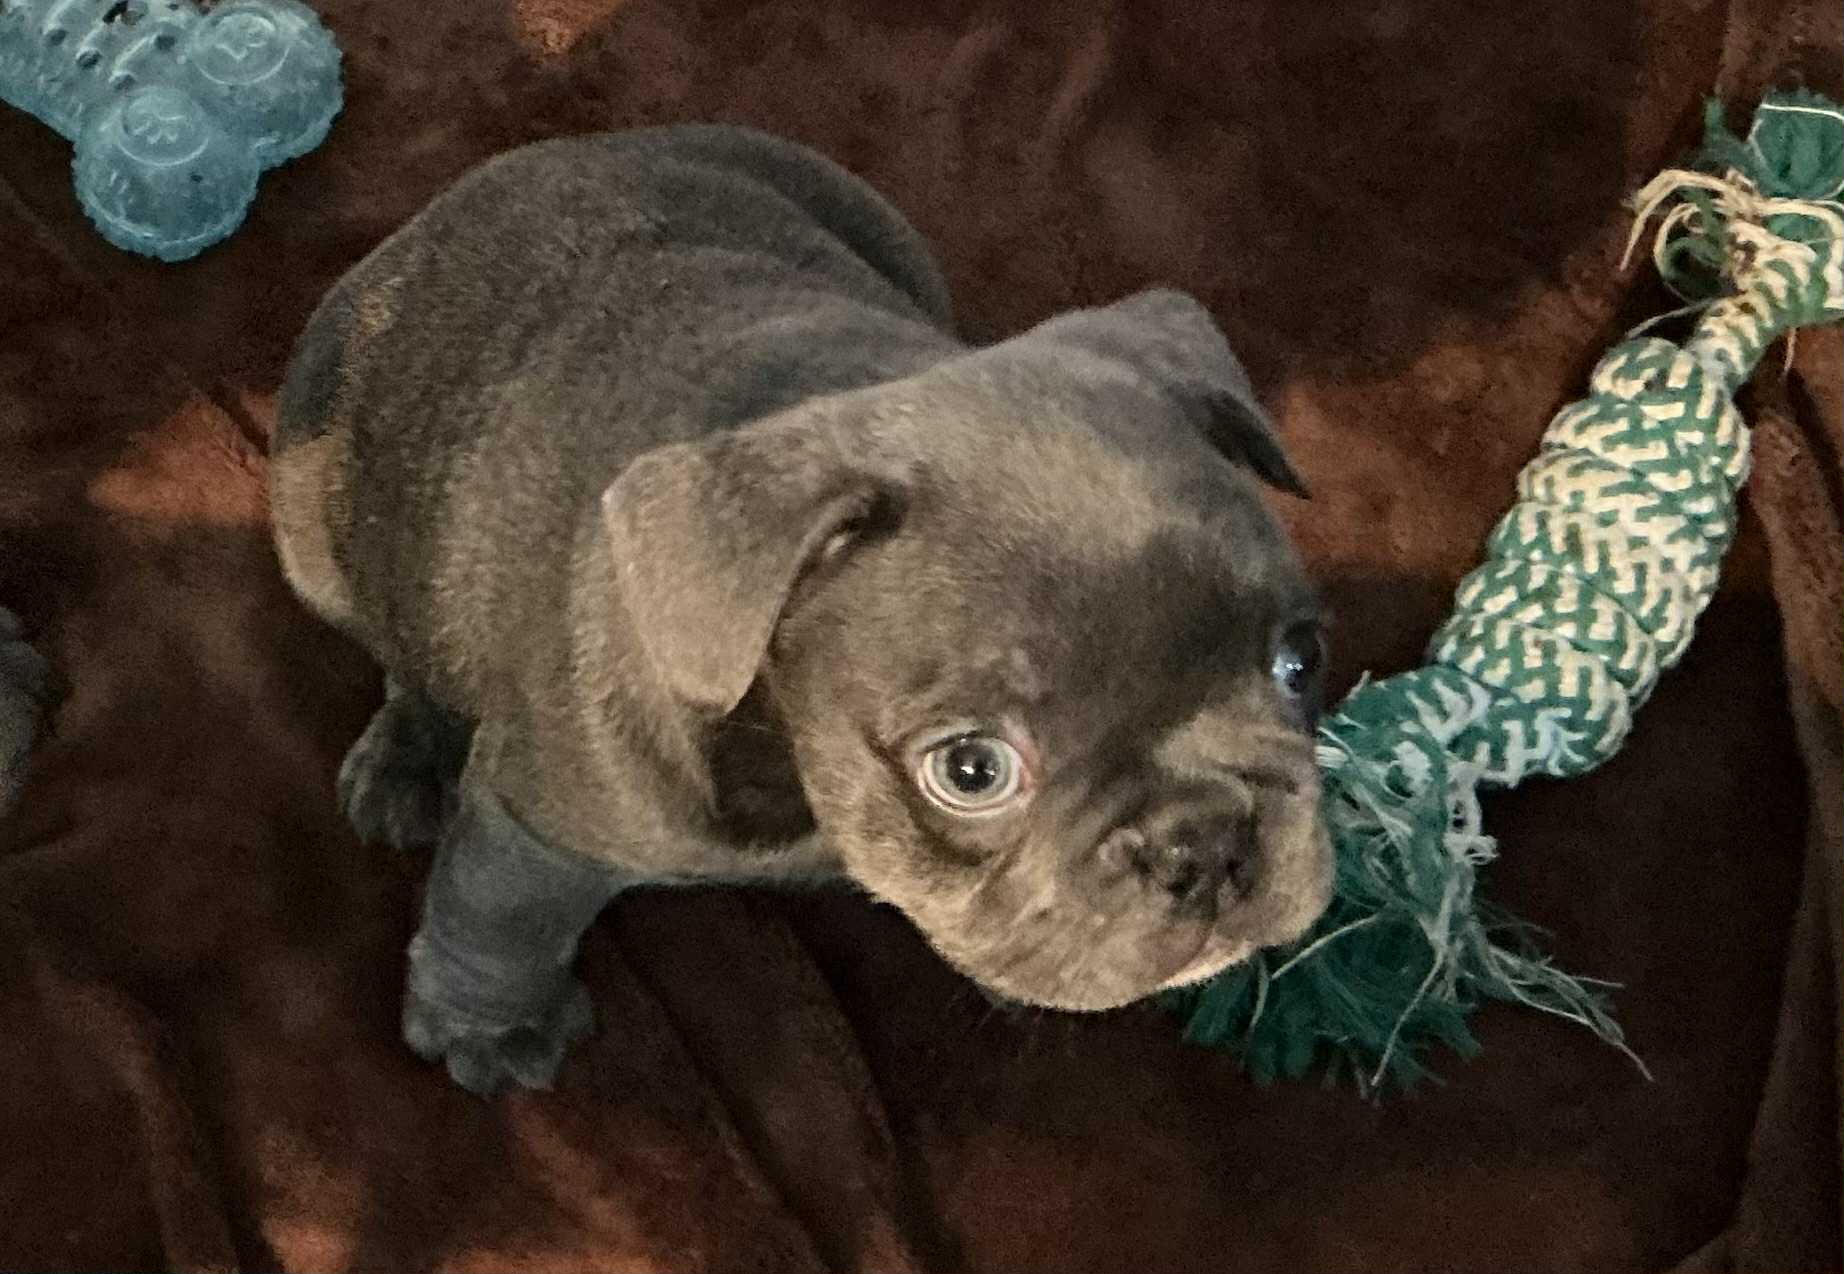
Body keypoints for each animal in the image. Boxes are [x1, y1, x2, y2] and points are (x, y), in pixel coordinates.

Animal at [270, 124, 1333, 1095]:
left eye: (1300, 662)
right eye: (973, 770)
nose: (1207, 841)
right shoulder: (542, 822)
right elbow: (502, 917)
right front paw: (490, 1030)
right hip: (314, 527)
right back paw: (409, 755)